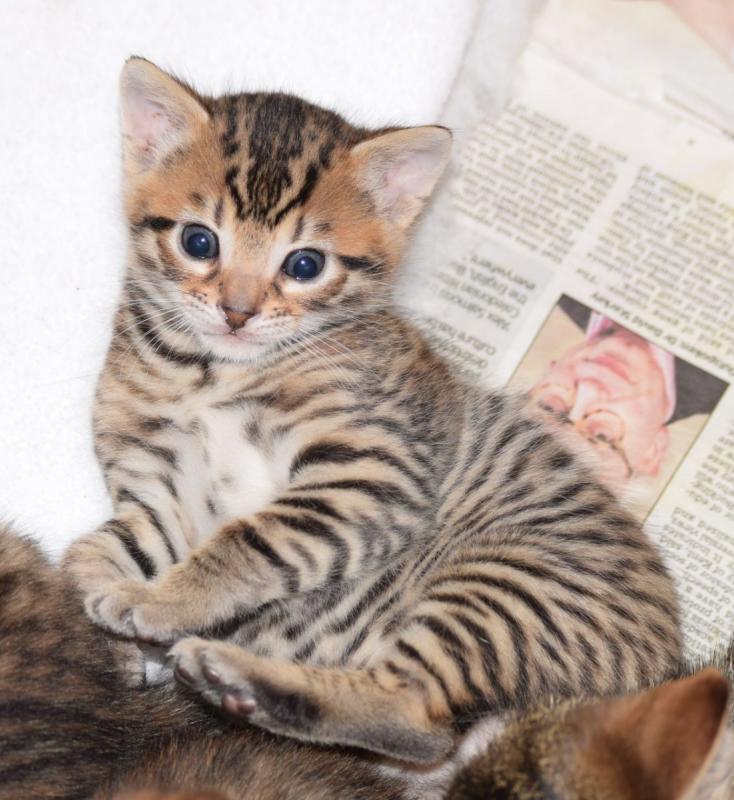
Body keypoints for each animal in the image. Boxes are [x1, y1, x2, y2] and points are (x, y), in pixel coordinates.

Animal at [63, 56, 684, 768]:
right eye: (199, 241)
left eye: (305, 264)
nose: (237, 312)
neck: (209, 373)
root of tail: (660, 678)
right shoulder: (163, 492)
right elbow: (98, 547)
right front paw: (109, 626)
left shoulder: (375, 471)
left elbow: (249, 541)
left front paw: (159, 602)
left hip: (503, 588)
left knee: (416, 718)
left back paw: (236, 677)